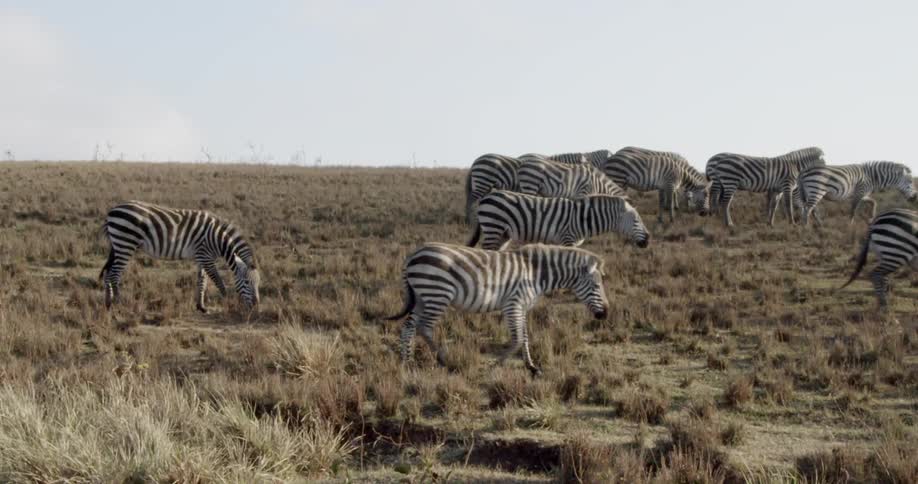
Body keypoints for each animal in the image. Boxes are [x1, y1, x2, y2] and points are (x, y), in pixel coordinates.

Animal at [100, 200, 260, 312]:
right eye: (246, 282)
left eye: (258, 283)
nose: (255, 305)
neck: (217, 238)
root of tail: (112, 210)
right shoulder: (206, 257)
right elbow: (218, 281)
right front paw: (227, 300)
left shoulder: (202, 257)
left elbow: (202, 281)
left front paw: (201, 306)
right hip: (125, 244)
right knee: (114, 275)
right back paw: (118, 304)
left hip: (118, 245)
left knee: (108, 273)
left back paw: (108, 303)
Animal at [386, 242, 609, 375]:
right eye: (596, 286)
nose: (605, 314)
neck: (535, 273)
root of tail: (413, 255)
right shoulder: (513, 304)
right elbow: (517, 339)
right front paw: (497, 365)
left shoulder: (522, 307)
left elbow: (525, 337)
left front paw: (532, 367)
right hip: (437, 294)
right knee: (424, 327)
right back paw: (443, 359)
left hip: (422, 297)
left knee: (408, 326)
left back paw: (407, 363)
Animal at [467, 190, 650, 250]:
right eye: (636, 221)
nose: (648, 240)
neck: (582, 218)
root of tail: (487, 196)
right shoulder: (567, 239)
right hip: (493, 227)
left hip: (503, 234)